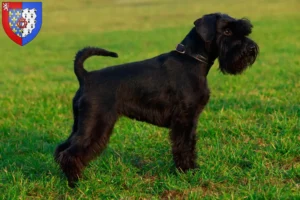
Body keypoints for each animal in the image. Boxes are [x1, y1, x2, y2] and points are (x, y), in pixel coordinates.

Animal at [55, 12, 258, 188]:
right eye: (227, 31)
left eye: (245, 30)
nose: (252, 48)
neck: (192, 60)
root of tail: (85, 76)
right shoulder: (184, 119)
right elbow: (184, 145)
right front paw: (187, 172)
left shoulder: (190, 120)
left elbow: (190, 144)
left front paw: (190, 169)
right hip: (96, 124)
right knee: (70, 154)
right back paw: (76, 182)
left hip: (81, 124)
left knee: (61, 149)